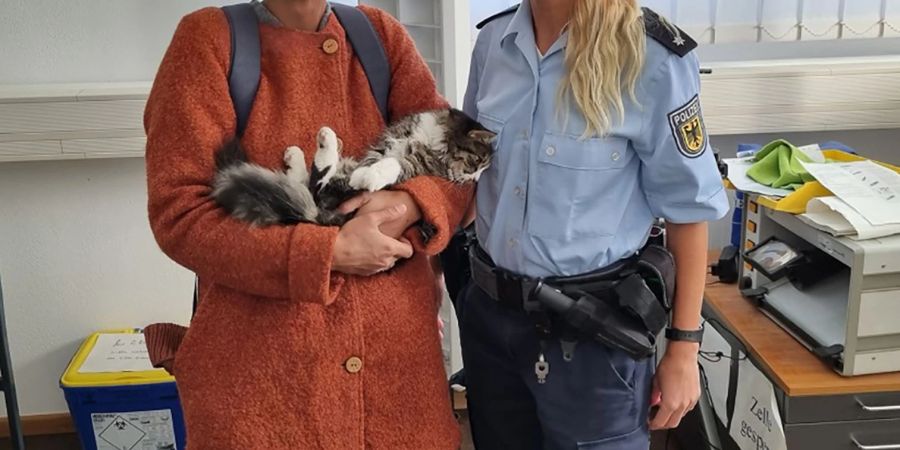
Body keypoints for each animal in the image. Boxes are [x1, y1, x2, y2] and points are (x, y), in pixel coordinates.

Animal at [210, 108, 496, 227]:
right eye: (476, 163)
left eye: (482, 171)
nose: (475, 181)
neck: (433, 139)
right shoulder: (385, 143)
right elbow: (376, 160)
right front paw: (366, 172)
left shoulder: (415, 166)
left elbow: (393, 164)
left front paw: (369, 177)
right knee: (314, 182)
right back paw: (315, 146)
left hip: (331, 196)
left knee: (316, 186)